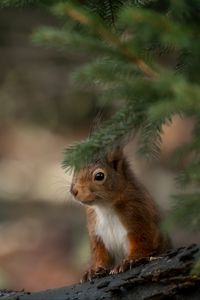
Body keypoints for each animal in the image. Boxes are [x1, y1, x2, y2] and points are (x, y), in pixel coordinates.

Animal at [70, 145, 170, 282]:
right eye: (75, 168)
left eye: (99, 176)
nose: (73, 191)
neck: (105, 207)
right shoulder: (96, 232)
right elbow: (99, 253)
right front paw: (93, 270)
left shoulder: (138, 216)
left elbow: (142, 243)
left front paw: (128, 261)